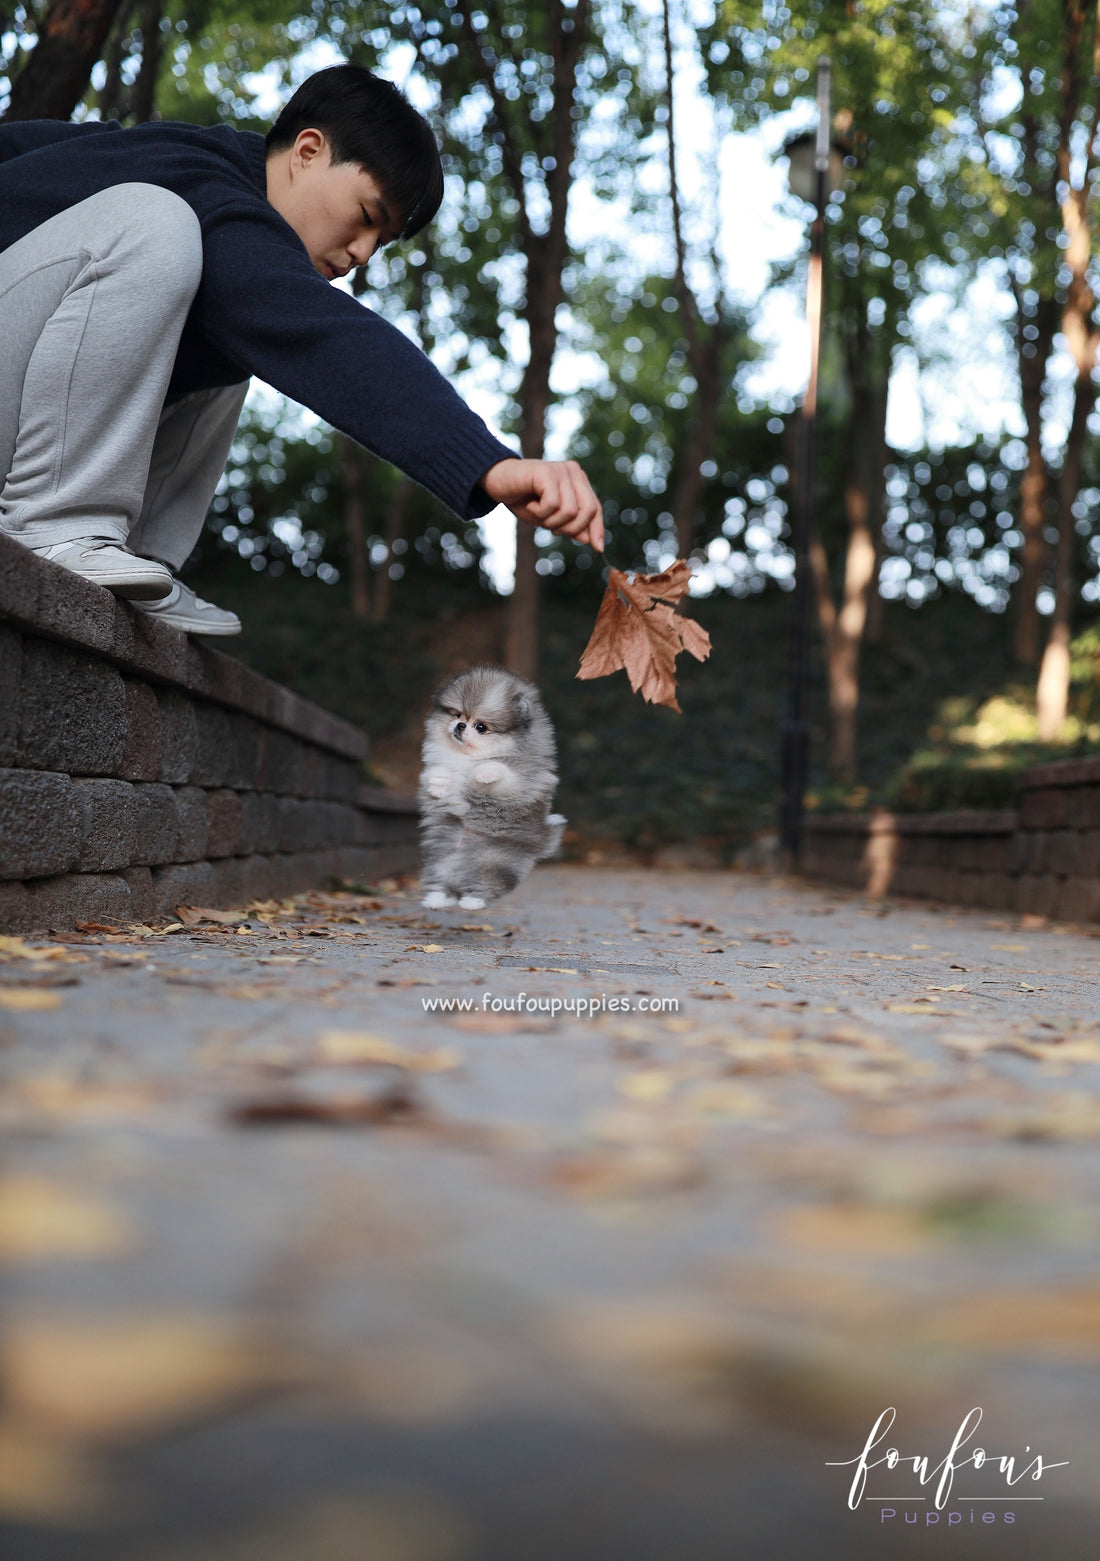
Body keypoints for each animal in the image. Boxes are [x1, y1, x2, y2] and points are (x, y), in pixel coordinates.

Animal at [418, 664, 567, 911]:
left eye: (481, 727)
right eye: (457, 715)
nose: (460, 725)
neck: (468, 757)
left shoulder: (524, 781)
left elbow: (503, 771)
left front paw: (483, 773)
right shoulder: (439, 759)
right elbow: (438, 769)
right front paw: (439, 786)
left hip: (492, 860)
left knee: (488, 884)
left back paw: (472, 901)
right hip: (442, 858)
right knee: (444, 882)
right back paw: (436, 900)